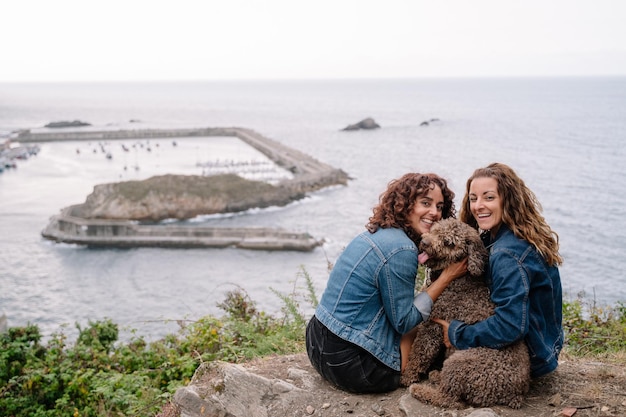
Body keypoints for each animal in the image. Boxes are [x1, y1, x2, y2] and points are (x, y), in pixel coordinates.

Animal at [400, 219, 528, 408]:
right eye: (435, 230)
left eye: (448, 243)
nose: (425, 242)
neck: (457, 280)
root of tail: (515, 394)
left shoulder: (432, 326)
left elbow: (419, 353)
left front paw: (408, 376)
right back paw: (436, 376)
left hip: (460, 362)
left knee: (449, 399)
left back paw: (420, 389)